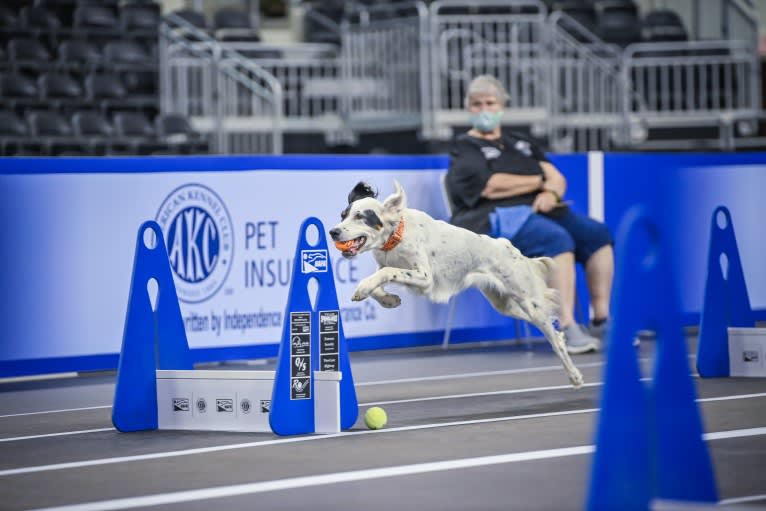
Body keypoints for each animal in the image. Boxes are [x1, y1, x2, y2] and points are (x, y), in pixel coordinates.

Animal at [328, 180, 584, 388]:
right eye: (343, 215)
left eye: (361, 216)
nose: (333, 232)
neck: (396, 236)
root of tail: (511, 248)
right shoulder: (386, 265)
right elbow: (379, 282)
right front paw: (389, 300)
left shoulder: (424, 277)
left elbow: (386, 273)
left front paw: (363, 288)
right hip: (506, 305)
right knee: (552, 330)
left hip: (530, 302)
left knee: (555, 339)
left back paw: (575, 375)